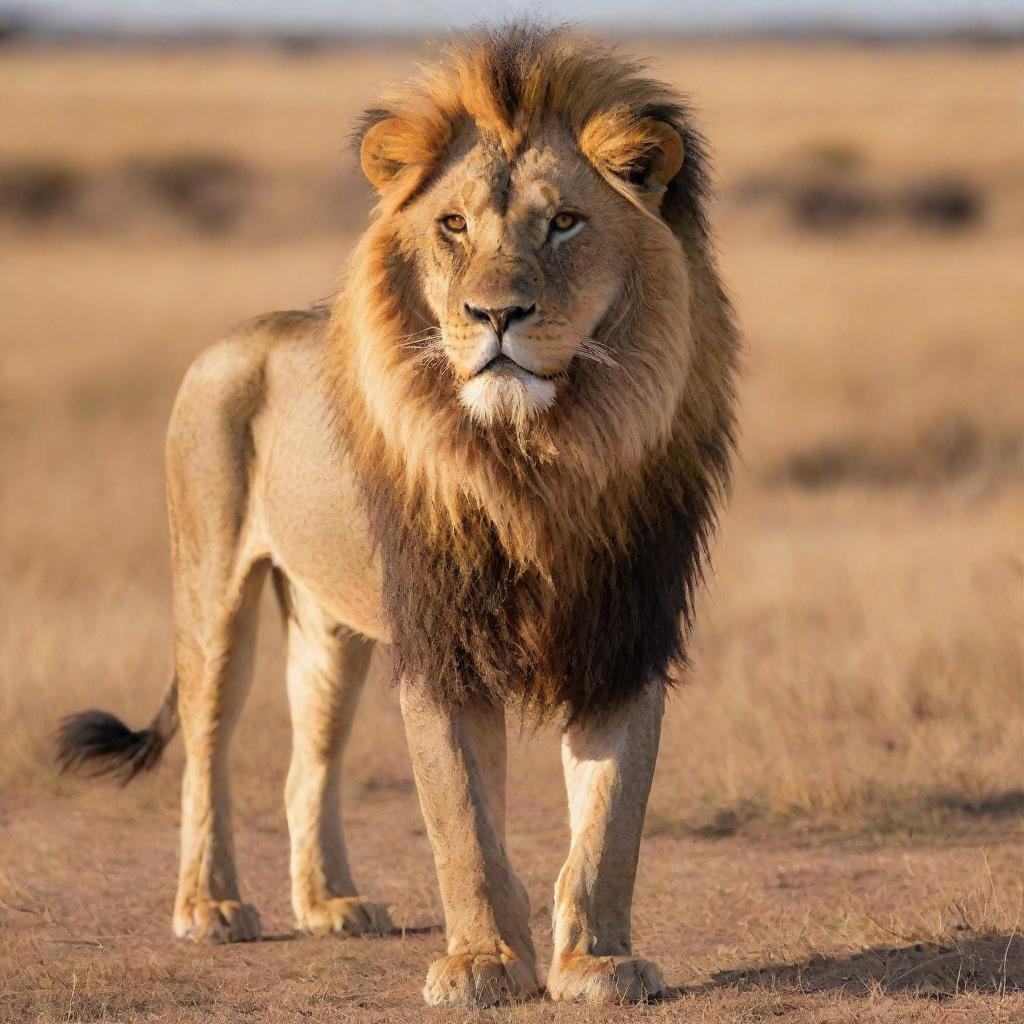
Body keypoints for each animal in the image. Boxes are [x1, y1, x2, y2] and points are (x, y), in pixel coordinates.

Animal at [56, 22, 741, 1007]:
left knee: (309, 764)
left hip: (331, 627)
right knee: (208, 752)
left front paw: (598, 964)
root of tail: (243, 335)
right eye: (453, 225)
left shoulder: (623, 630)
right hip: (211, 591)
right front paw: (483, 964)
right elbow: (461, 823)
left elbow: (610, 823)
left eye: (564, 222)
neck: (536, 461)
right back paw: (211, 908)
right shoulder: (445, 641)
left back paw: (332, 904)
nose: (496, 314)